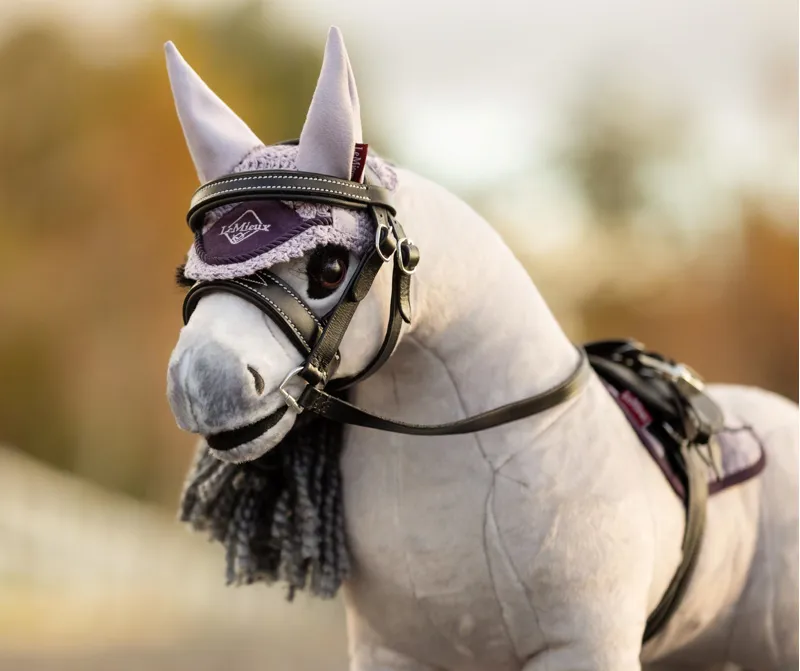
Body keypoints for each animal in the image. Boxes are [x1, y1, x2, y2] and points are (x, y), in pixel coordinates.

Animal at [165, 27, 798, 671]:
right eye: (188, 276)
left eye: (329, 266)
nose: (198, 385)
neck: (485, 450)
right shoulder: (393, 650)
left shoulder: (584, 648)